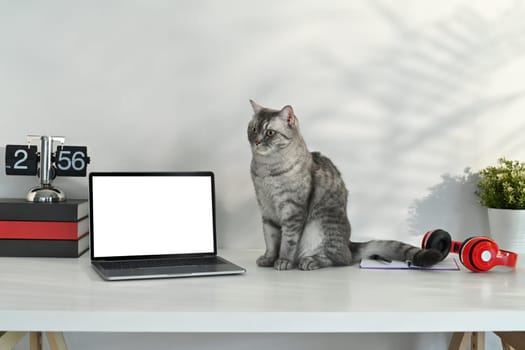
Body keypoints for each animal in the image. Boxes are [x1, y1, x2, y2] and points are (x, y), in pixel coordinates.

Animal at [248, 100, 440, 270]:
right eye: (254, 129)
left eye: (270, 133)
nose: (256, 141)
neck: (267, 169)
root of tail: (350, 244)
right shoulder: (266, 210)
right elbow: (271, 239)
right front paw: (269, 259)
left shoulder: (292, 211)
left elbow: (287, 242)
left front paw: (283, 261)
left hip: (319, 227)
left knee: (340, 258)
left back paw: (311, 261)